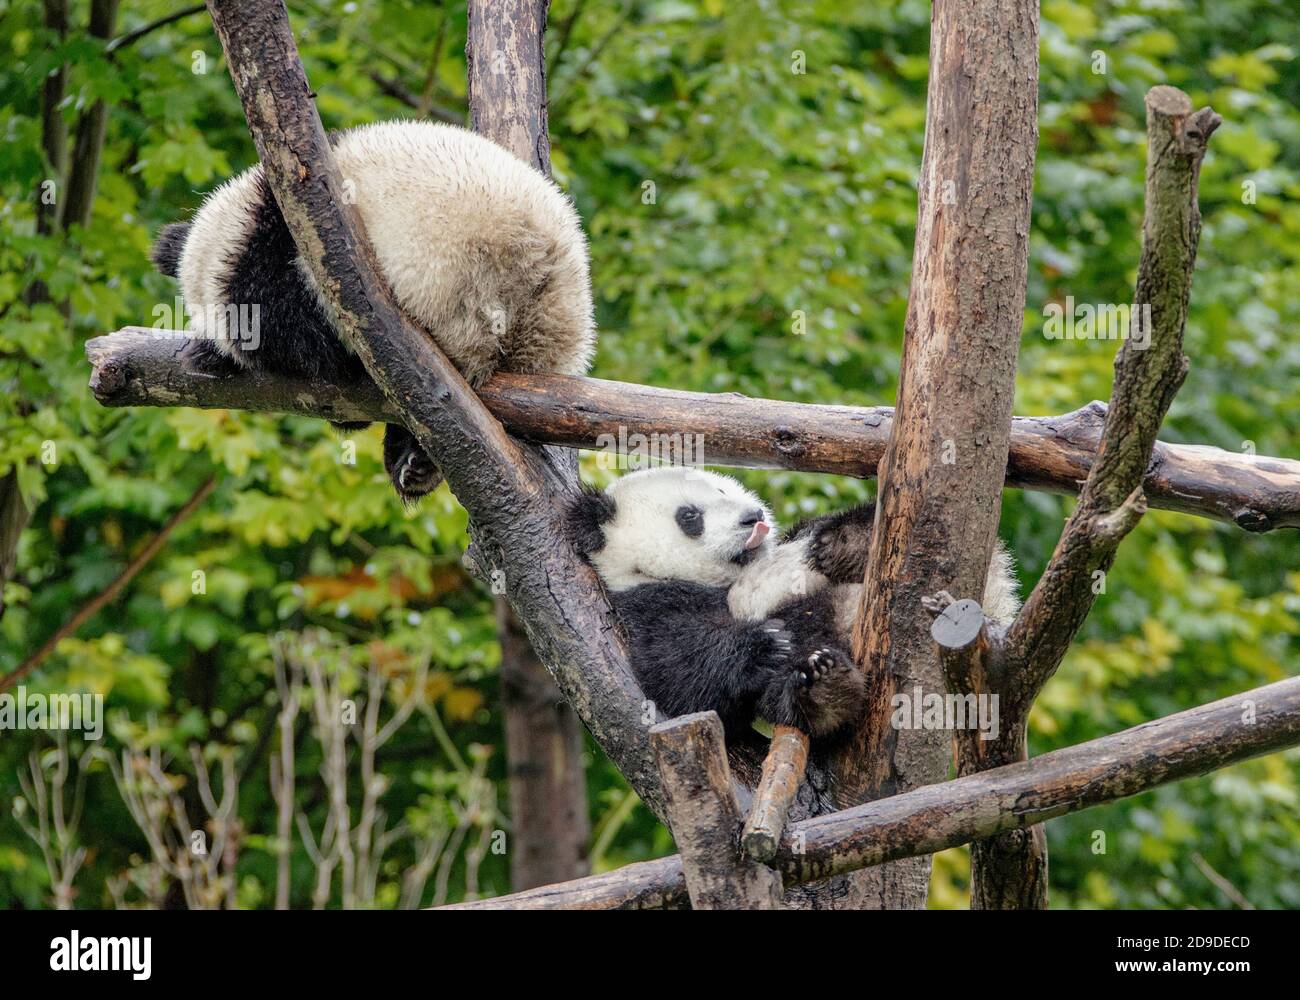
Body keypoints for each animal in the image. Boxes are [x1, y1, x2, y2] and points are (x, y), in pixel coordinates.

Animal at [568, 466, 1020, 745]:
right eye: (689, 516)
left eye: (721, 489)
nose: (752, 517)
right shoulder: (646, 605)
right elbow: (680, 677)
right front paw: (765, 645)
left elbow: (810, 533)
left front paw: (841, 543)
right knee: (788, 693)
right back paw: (824, 686)